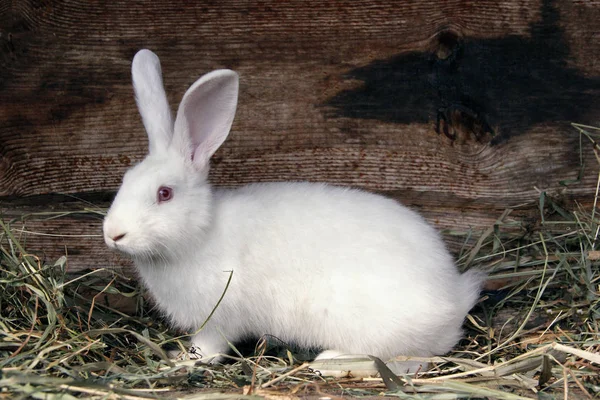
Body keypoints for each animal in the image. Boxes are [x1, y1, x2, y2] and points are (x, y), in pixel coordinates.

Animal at [105, 50, 486, 376]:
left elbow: (210, 348)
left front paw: (182, 360)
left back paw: (329, 361)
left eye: (164, 194)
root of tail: (453, 299)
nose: (113, 234)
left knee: (410, 360)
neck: (199, 234)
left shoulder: (220, 318)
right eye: (125, 180)